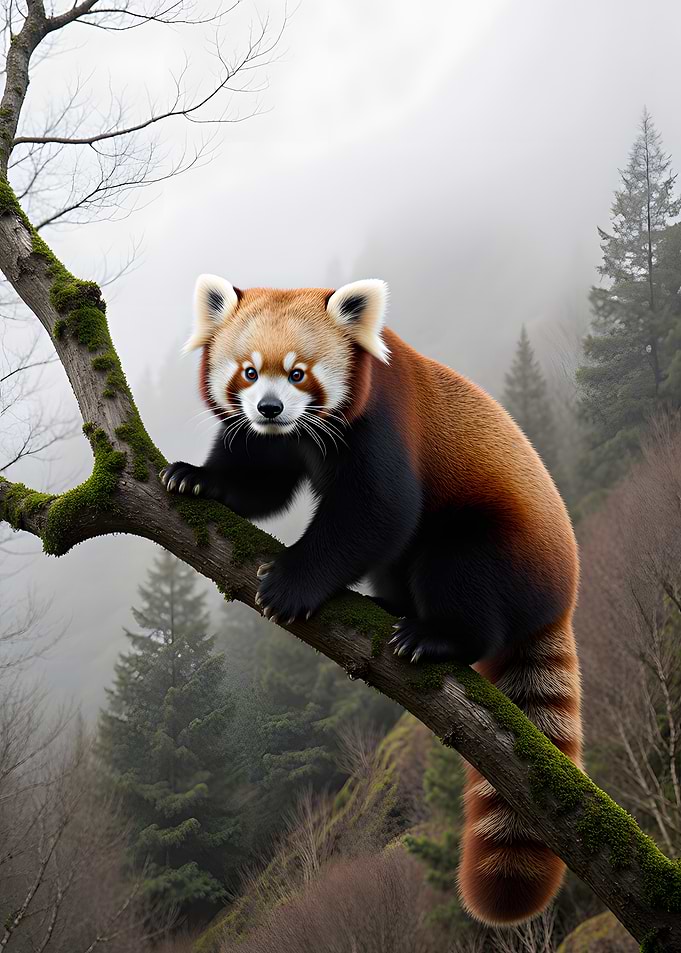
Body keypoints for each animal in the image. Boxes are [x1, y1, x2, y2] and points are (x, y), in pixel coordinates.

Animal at [161, 274, 582, 926]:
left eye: (299, 373)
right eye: (250, 373)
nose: (270, 410)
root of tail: (562, 596)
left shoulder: (384, 423)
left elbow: (377, 511)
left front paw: (291, 584)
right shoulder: (271, 442)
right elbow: (260, 480)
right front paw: (198, 478)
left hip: (500, 548)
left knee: (457, 569)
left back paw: (435, 634)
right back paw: (394, 608)